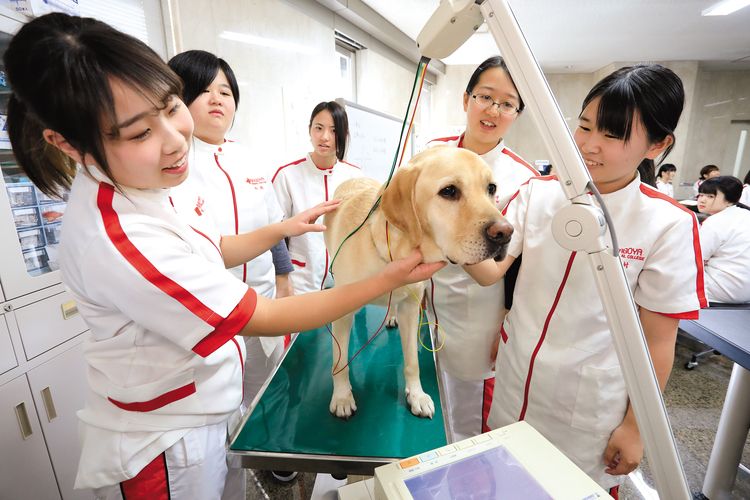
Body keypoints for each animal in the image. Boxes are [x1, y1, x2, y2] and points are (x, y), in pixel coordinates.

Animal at [326, 146, 516, 418]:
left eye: (491, 188)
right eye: (449, 191)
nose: (506, 233)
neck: (393, 253)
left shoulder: (410, 307)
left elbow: (412, 363)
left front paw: (416, 395)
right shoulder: (342, 313)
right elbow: (339, 363)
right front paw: (342, 396)